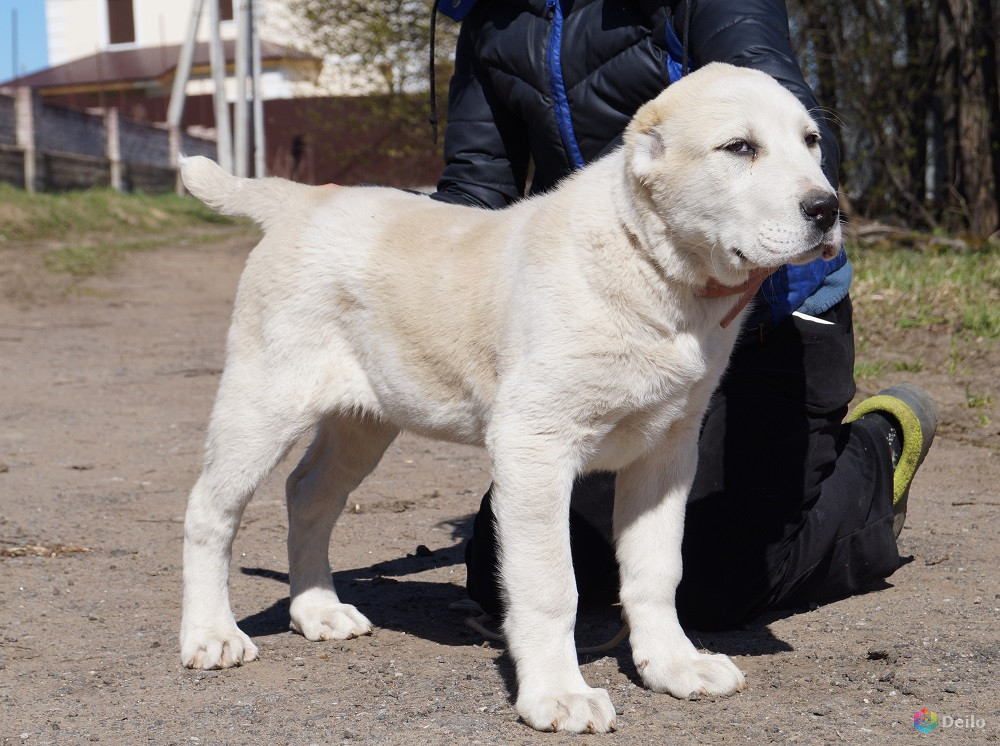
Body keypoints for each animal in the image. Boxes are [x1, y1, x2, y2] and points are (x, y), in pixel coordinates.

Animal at [176, 64, 840, 732]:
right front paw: (559, 695)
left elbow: (657, 569)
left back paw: (317, 610)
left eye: (811, 142)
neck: (649, 264)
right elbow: (551, 585)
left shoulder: (666, 452)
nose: (827, 208)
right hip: (263, 400)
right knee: (211, 509)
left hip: (365, 417)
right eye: (739, 148)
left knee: (308, 493)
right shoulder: (534, 446)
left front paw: (674, 665)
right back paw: (211, 634)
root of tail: (305, 199)